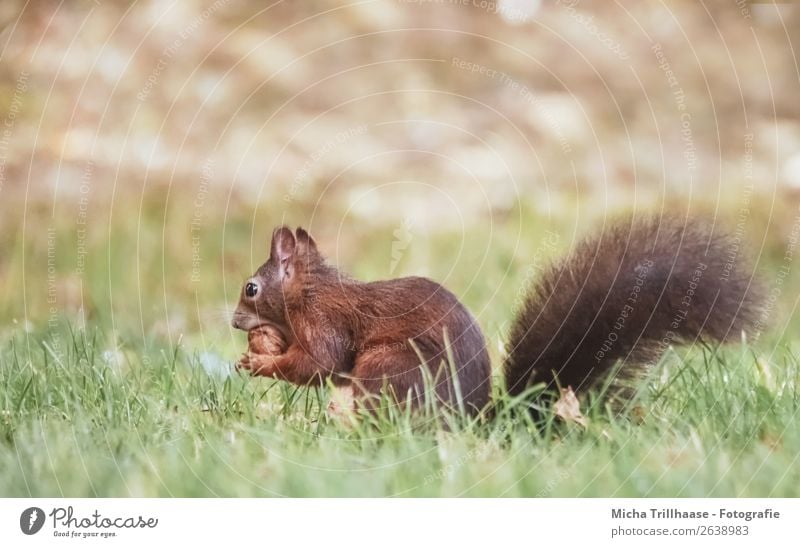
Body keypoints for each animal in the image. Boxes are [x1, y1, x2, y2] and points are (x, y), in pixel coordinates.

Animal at [233, 218, 764, 416]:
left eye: (251, 288)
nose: (235, 321)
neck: (310, 291)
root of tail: (478, 421)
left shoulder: (325, 322)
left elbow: (318, 363)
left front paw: (259, 363)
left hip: (390, 367)